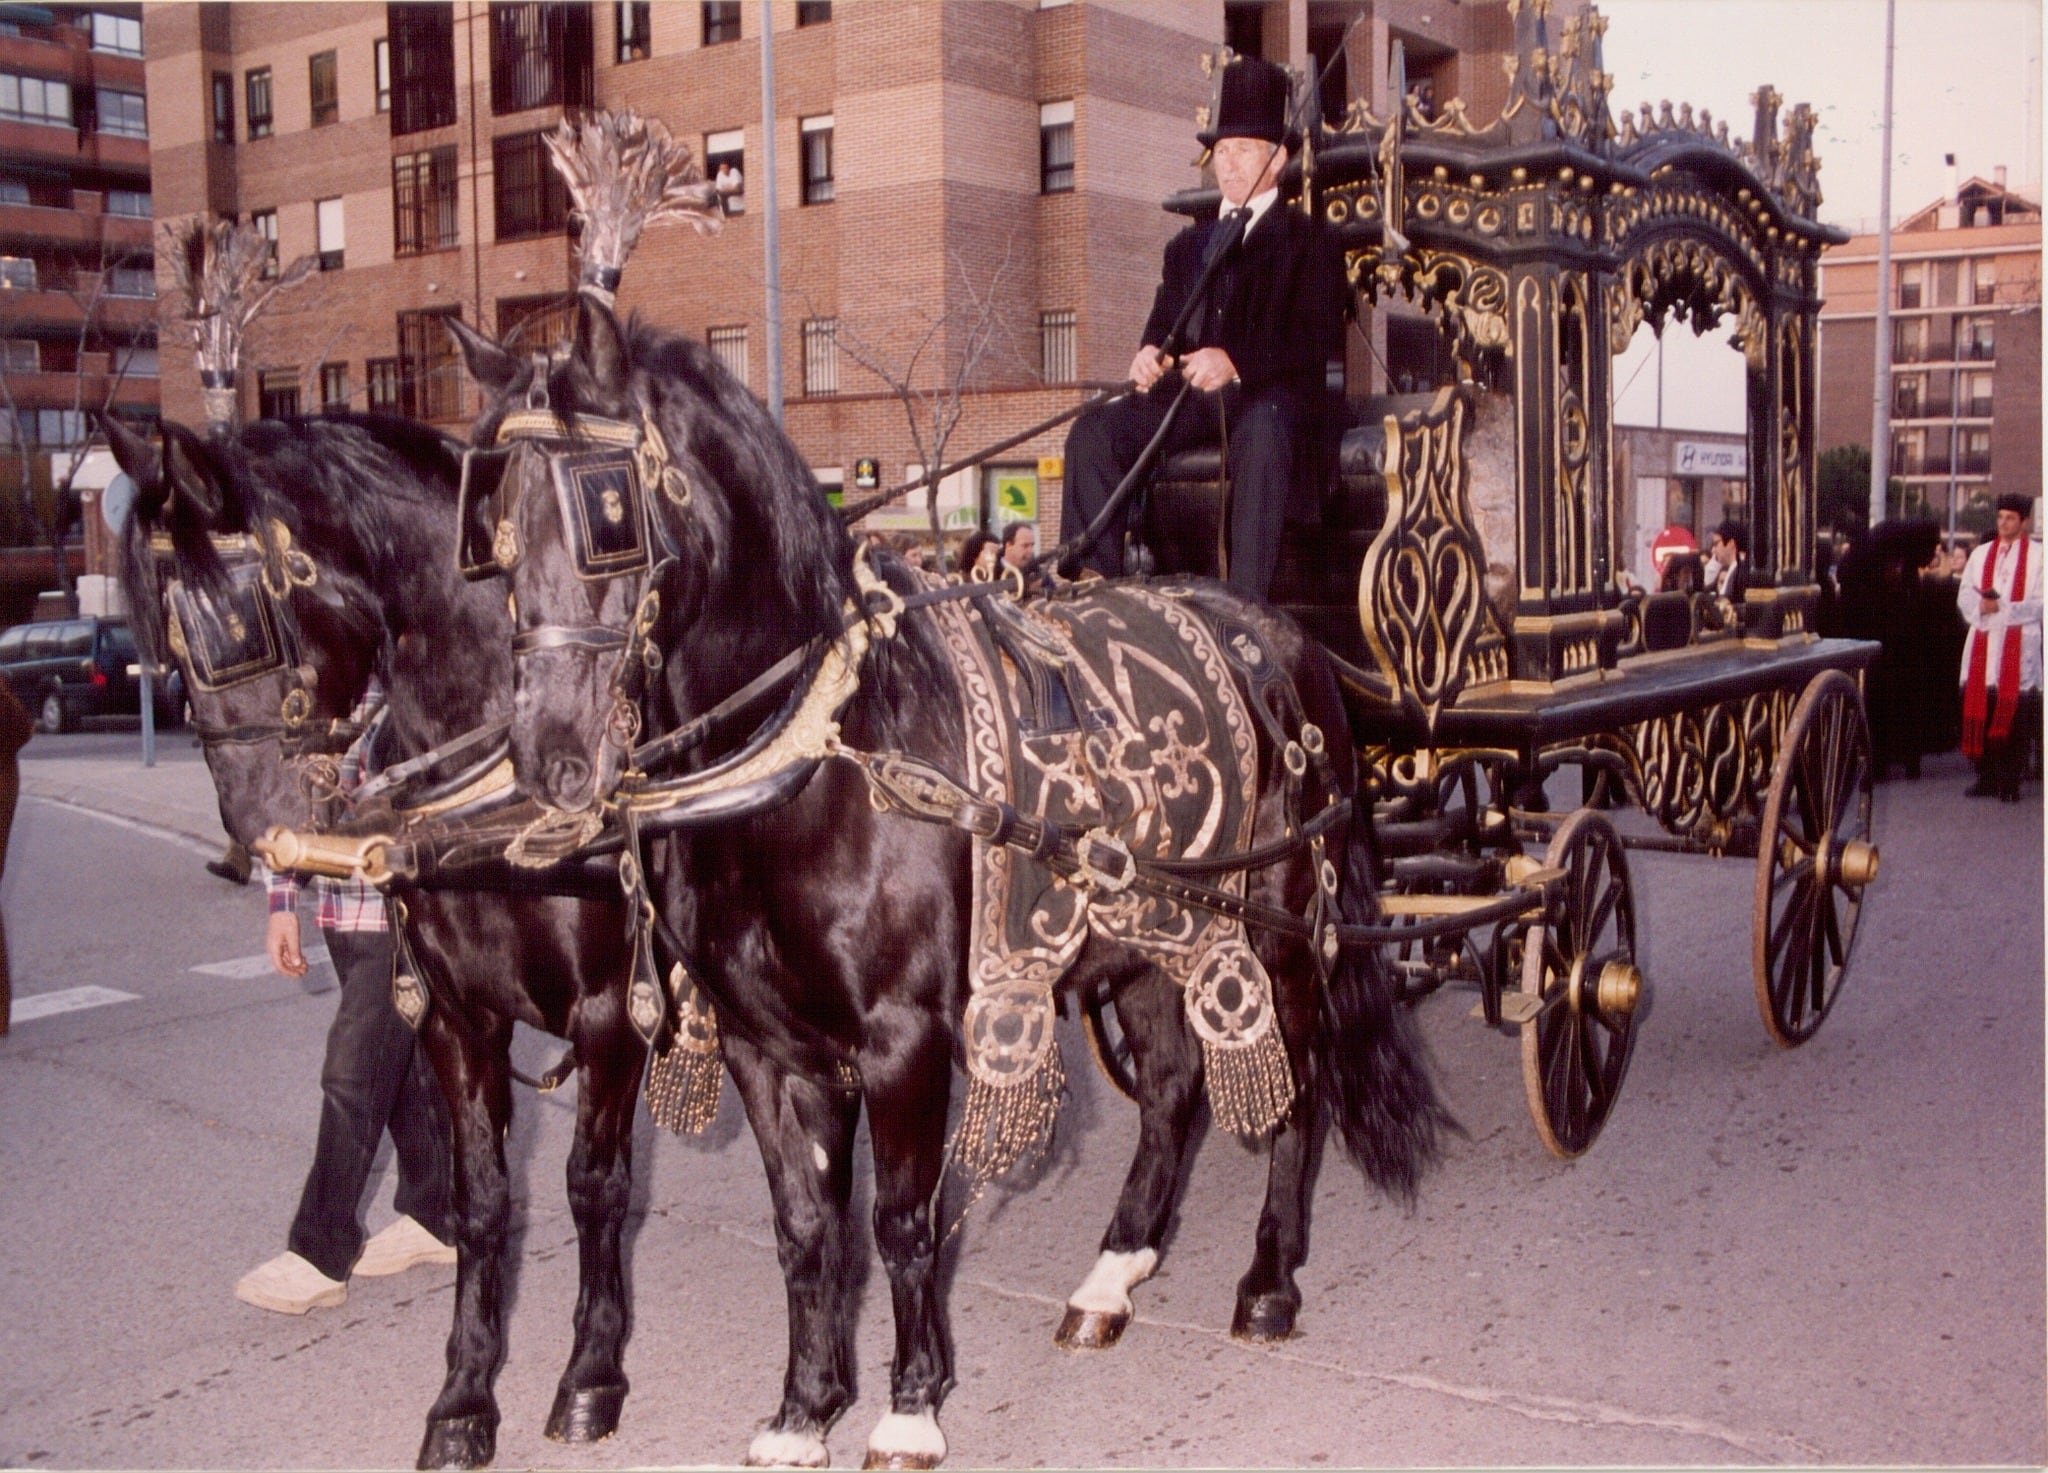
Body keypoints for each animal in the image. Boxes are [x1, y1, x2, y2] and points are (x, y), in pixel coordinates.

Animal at [103, 413, 647, 1473]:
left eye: (243, 614)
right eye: (163, 637)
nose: (255, 833)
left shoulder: (613, 1012)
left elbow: (594, 1186)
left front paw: (592, 1374)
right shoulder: (453, 1009)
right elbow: (484, 1199)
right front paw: (465, 1395)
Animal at [452, 303, 1441, 1473]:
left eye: (607, 509)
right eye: (493, 532)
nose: (549, 757)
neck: (825, 752)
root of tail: (1285, 638)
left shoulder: (902, 1039)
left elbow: (900, 1220)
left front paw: (909, 1404)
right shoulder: (761, 1041)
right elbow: (807, 1228)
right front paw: (804, 1406)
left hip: (1281, 928)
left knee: (1300, 1091)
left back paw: (1270, 1280)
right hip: (1151, 935)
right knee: (1170, 1091)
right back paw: (1113, 1273)